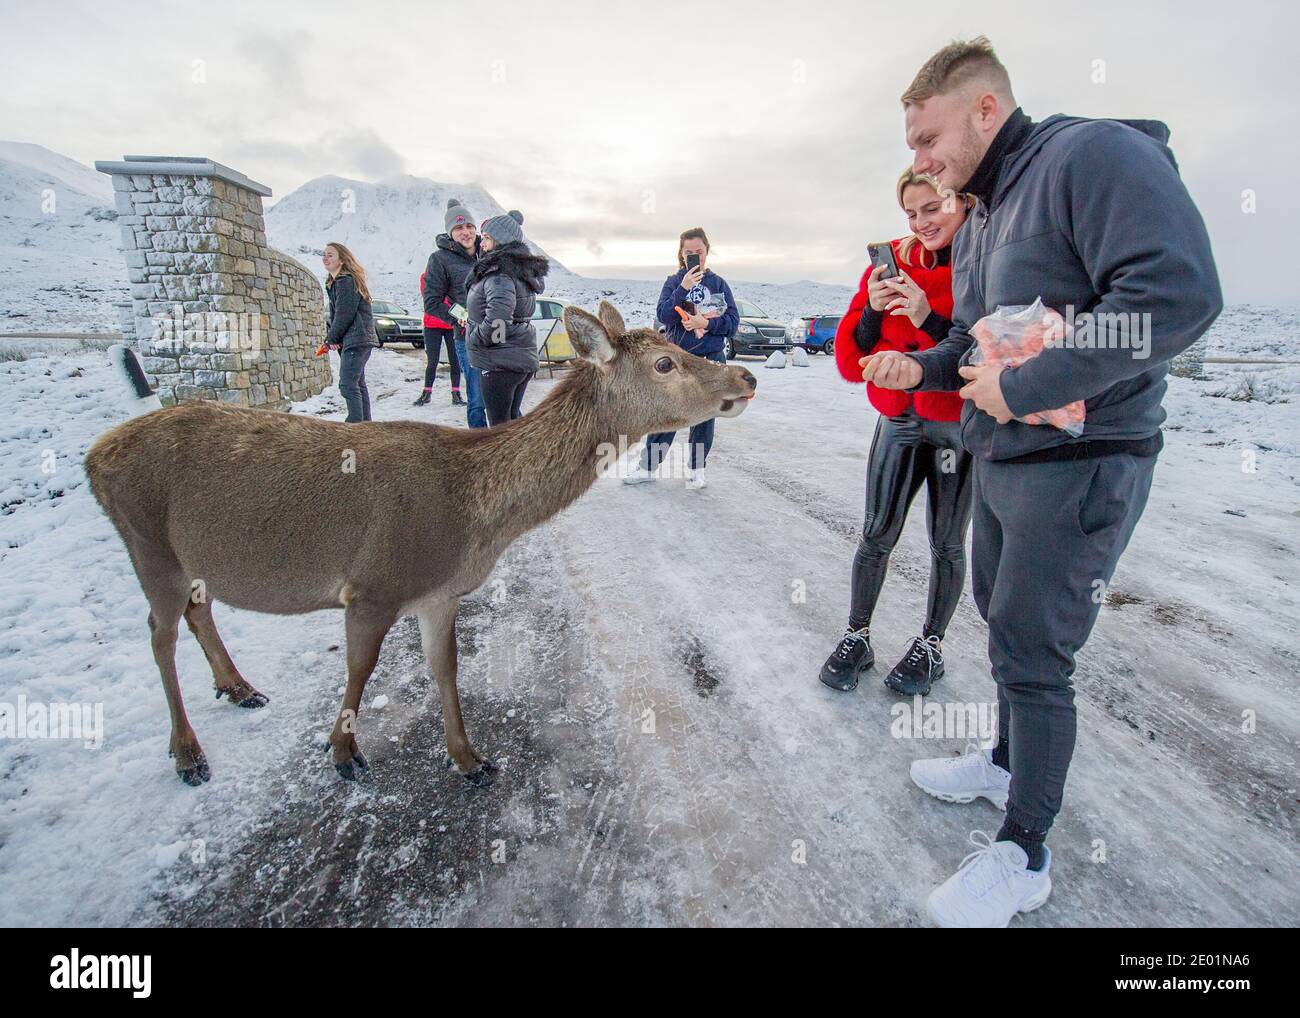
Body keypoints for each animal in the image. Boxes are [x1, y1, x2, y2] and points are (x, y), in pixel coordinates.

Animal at [86, 302, 759, 790]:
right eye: (666, 363)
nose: (746, 375)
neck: (474, 519)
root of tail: (94, 459)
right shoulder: (373, 585)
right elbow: (360, 668)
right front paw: (343, 752)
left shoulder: (439, 594)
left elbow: (445, 666)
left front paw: (470, 760)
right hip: (146, 542)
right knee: (159, 634)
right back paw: (188, 753)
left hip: (186, 558)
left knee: (197, 612)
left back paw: (240, 688)